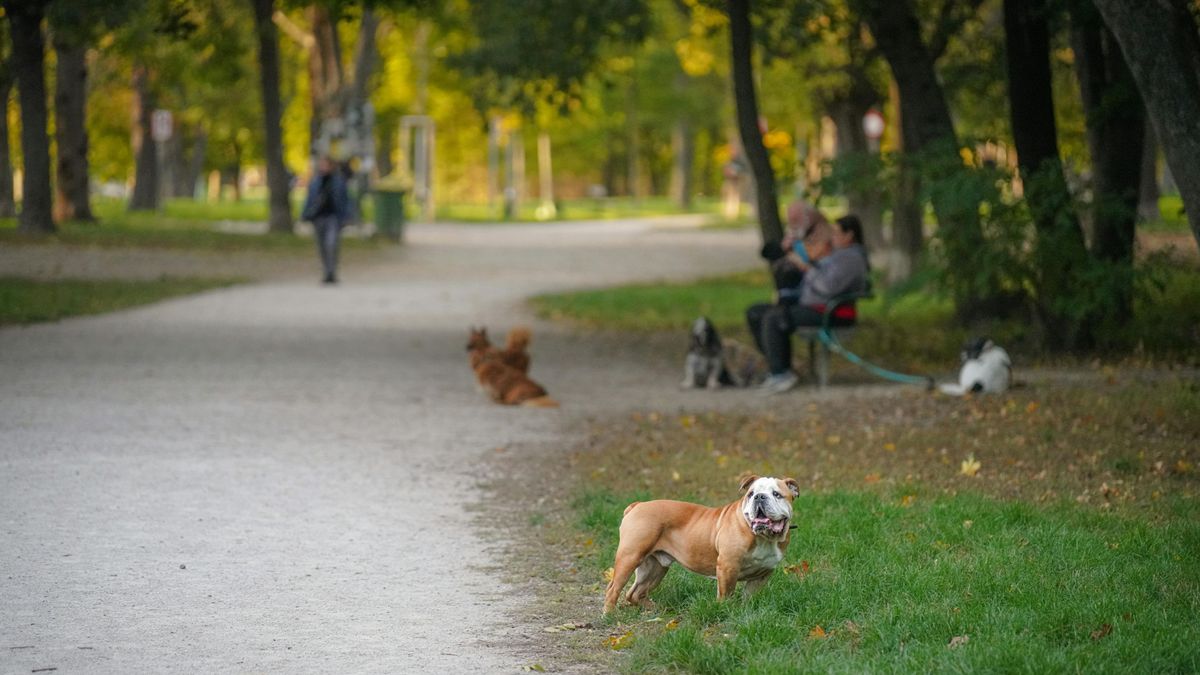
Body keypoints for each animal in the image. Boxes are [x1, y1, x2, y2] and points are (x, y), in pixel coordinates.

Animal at [609, 473, 796, 610]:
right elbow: (726, 594)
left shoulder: (763, 574)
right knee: (613, 589)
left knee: (635, 592)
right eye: (750, 494)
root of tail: (637, 505)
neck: (764, 538)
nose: (759, 497)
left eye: (777, 494)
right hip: (630, 557)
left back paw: (654, 609)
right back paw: (610, 614)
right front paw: (724, 611)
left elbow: (750, 596)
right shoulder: (727, 567)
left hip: (655, 567)